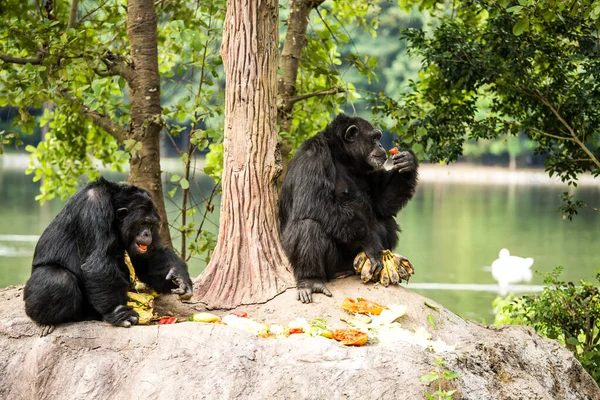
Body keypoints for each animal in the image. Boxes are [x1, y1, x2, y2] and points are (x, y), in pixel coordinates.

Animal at [22, 177, 192, 328]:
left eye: (151, 224)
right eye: (143, 222)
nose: (147, 234)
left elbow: (149, 255)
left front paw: (178, 276)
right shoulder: (93, 206)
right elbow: (98, 262)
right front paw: (119, 312)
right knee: (58, 279)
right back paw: (46, 322)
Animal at [280, 114, 418, 302]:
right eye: (374, 138)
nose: (381, 145)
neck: (342, 157)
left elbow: (381, 202)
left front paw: (408, 161)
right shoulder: (313, 156)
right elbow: (313, 203)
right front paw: (371, 243)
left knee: (385, 219)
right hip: (331, 265)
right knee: (308, 226)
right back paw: (311, 281)